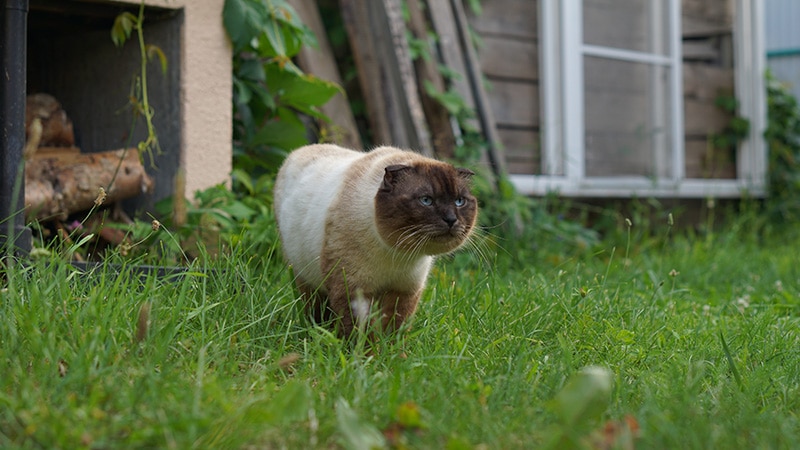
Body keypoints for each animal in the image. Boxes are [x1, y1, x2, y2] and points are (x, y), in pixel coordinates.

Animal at [272, 144, 478, 338]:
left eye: (459, 201)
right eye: (426, 200)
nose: (451, 219)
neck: (397, 256)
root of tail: (299, 150)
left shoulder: (404, 290)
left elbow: (395, 332)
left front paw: (393, 352)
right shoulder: (353, 290)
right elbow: (361, 334)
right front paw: (369, 353)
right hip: (307, 279)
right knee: (315, 312)